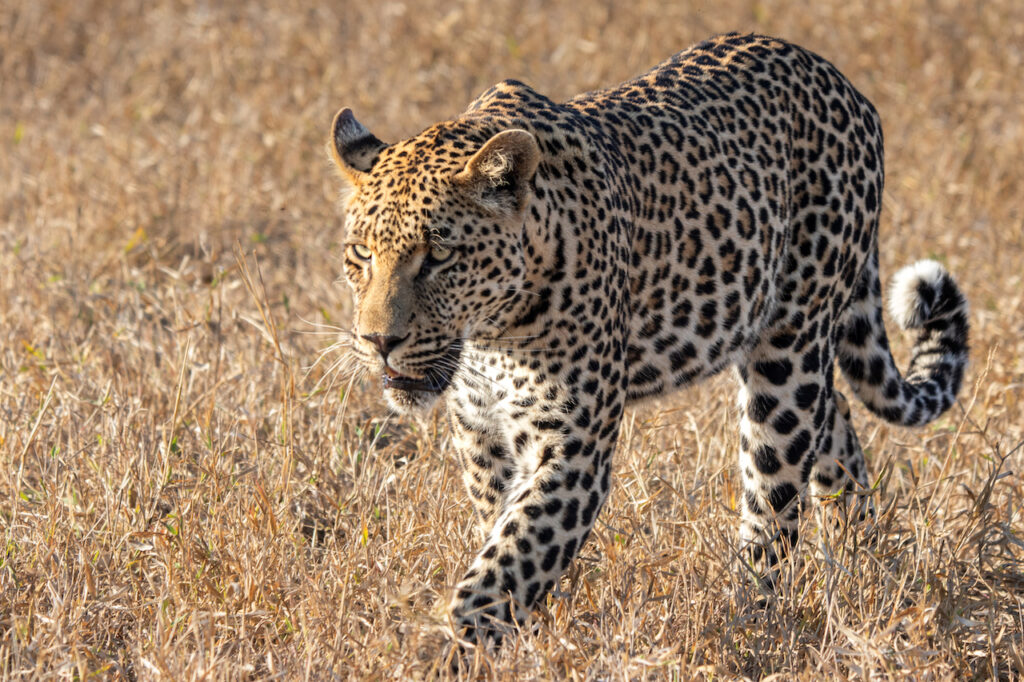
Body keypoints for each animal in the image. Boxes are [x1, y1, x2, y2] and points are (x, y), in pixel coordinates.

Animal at [326, 33, 969, 644]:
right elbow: (510, 542)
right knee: (836, 431)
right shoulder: (482, 438)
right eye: (360, 253)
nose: (378, 340)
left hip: (789, 354)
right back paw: (866, 562)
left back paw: (755, 619)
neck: (488, 339)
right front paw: (539, 629)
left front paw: (451, 647)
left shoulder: (571, 442)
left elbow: (506, 564)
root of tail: (843, 82)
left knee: (775, 502)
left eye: (439, 256)